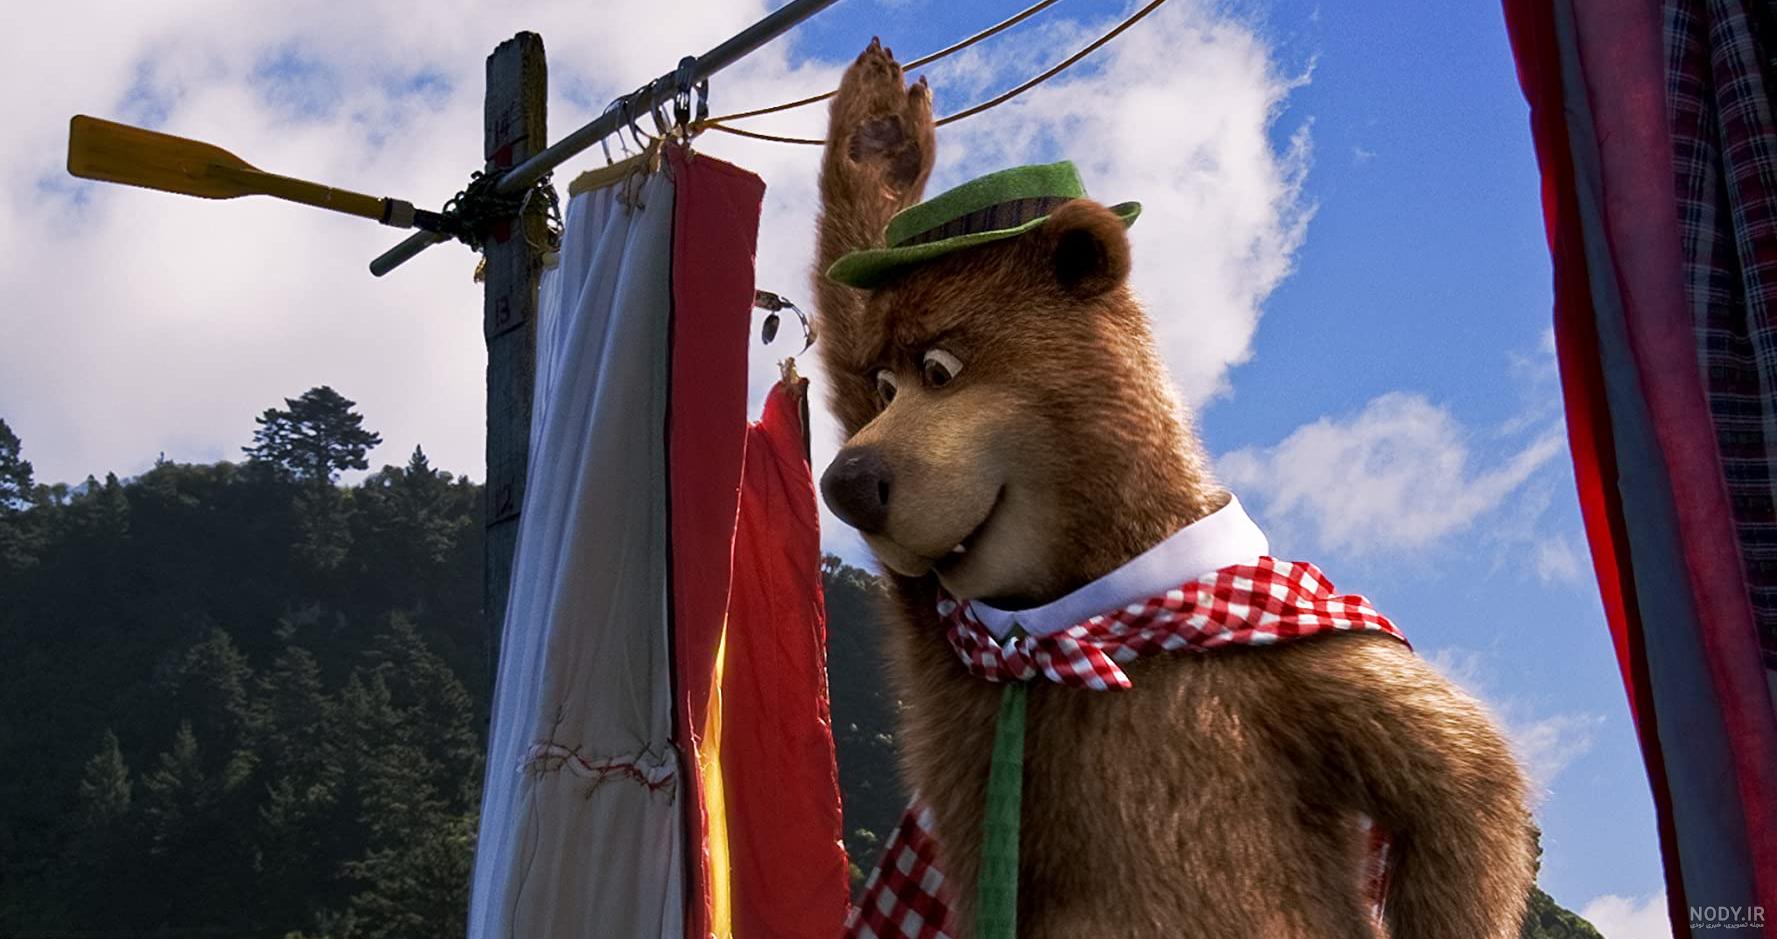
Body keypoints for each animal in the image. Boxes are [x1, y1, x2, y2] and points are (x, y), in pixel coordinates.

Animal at [810, 40, 1536, 939]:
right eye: (881, 385)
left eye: (938, 369)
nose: (847, 484)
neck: (1066, 619)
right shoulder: (939, 621)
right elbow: (843, 305)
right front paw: (877, 139)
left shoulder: (1280, 658)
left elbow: (1468, 777)